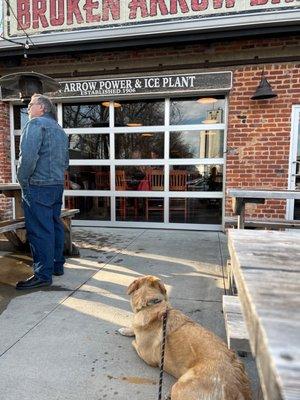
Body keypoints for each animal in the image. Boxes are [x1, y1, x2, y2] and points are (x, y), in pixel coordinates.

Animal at [119, 276, 251, 400]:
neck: (150, 304)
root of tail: (236, 388)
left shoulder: (146, 355)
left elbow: (134, 341)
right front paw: (126, 329)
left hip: (180, 386)